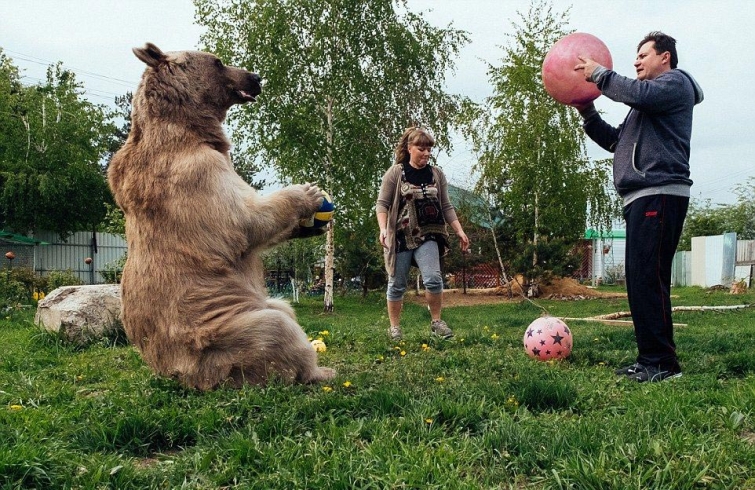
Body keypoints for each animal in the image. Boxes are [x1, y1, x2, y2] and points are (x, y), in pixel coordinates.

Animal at [108, 43, 336, 390]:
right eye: (218, 62)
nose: (256, 77)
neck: (189, 129)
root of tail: (178, 374)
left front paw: (308, 227)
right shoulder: (196, 175)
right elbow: (242, 221)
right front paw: (307, 193)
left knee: (282, 306)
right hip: (220, 337)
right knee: (276, 329)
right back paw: (318, 370)